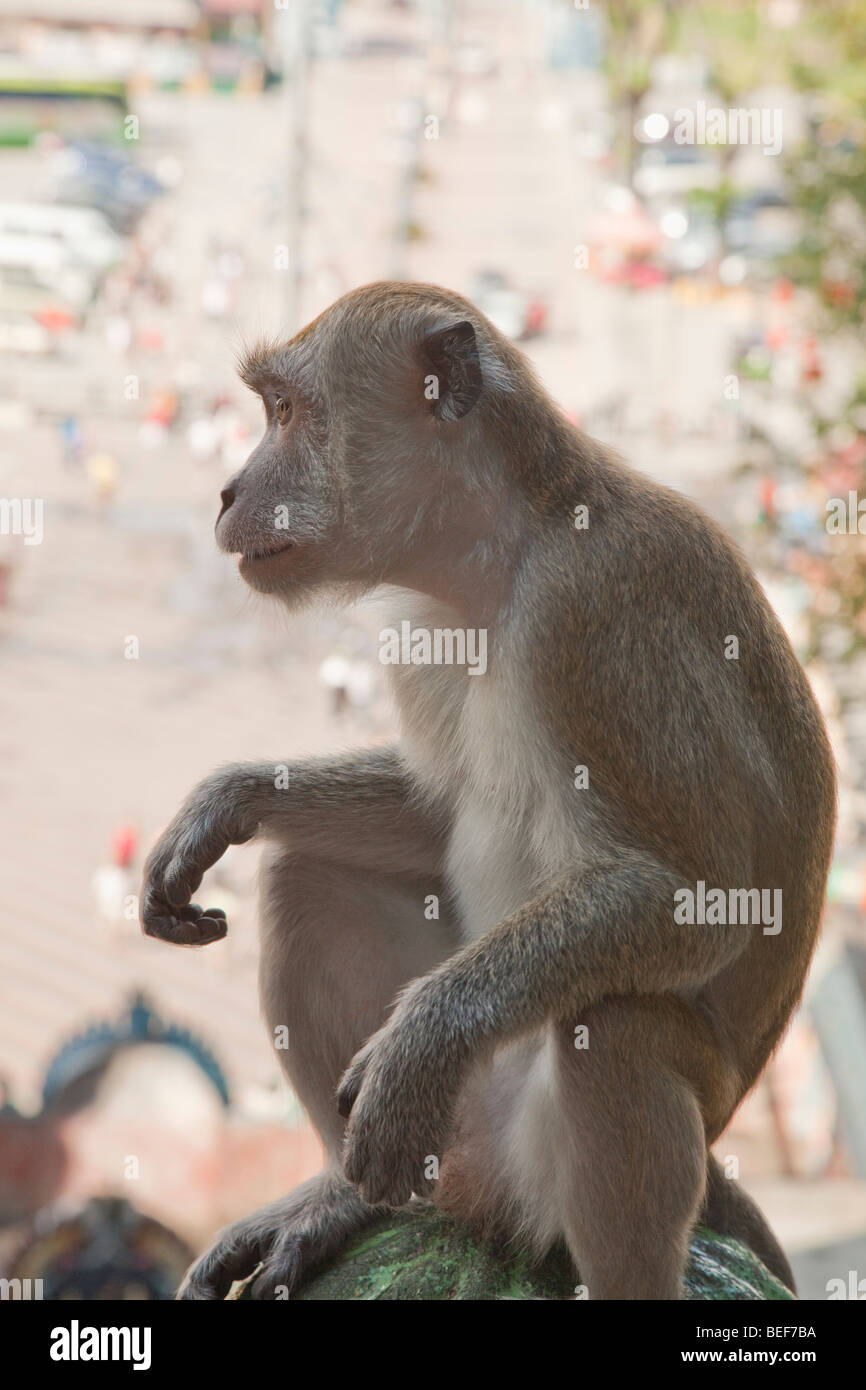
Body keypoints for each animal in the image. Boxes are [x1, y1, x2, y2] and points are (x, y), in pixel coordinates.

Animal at [140, 281, 835, 1300]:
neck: (498, 562)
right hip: (460, 1146)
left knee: (614, 1031)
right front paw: (229, 799)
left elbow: (700, 894)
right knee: (307, 876)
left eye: (285, 411)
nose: (227, 493)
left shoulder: (591, 613)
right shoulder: (424, 630)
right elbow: (433, 815)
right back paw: (345, 1201)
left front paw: (426, 1038)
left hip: (533, 1162)